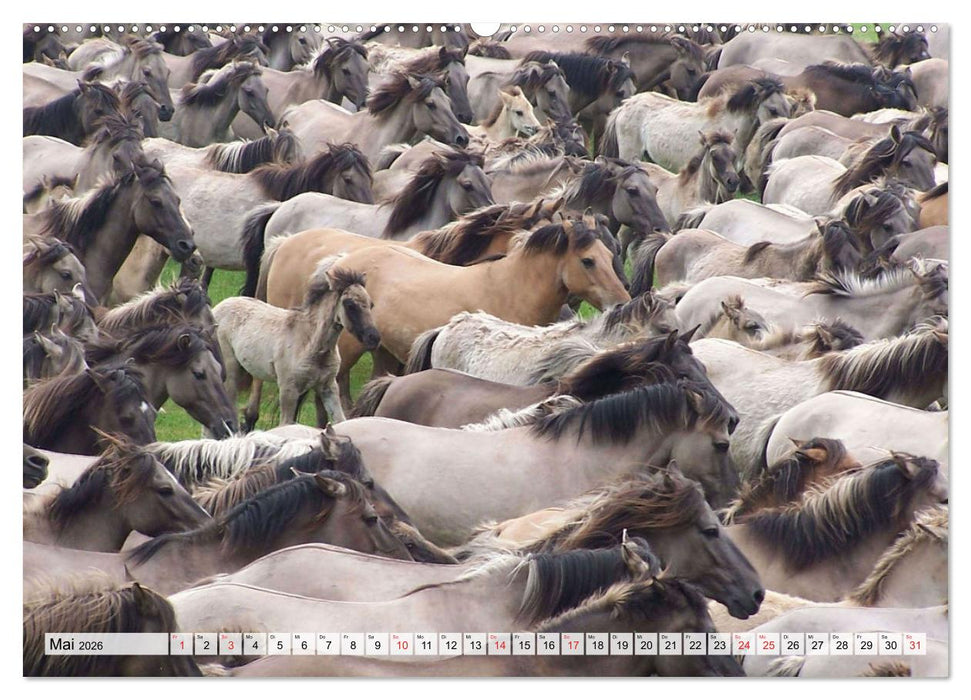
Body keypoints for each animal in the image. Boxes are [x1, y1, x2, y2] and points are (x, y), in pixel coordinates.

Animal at [214, 258, 380, 429]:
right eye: (350, 305)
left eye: (371, 304)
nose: (373, 337)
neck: (309, 342)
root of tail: (218, 306)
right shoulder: (288, 389)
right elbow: (285, 424)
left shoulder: (328, 386)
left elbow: (340, 420)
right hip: (230, 369)